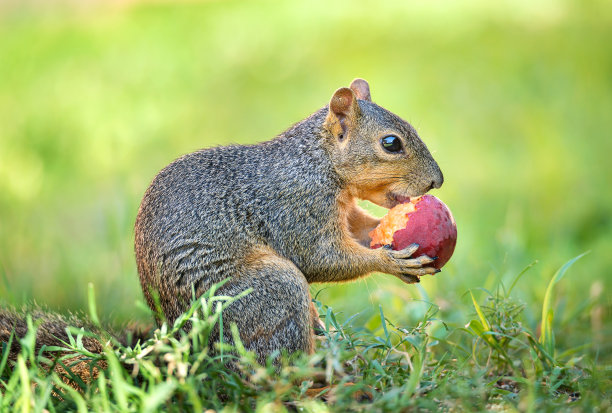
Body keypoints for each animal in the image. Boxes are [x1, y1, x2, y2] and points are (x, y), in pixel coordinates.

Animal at [134, 79, 442, 362]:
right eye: (391, 143)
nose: (436, 181)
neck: (316, 162)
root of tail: (185, 343)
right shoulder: (297, 209)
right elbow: (319, 258)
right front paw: (389, 261)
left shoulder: (345, 213)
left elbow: (365, 231)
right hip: (269, 292)